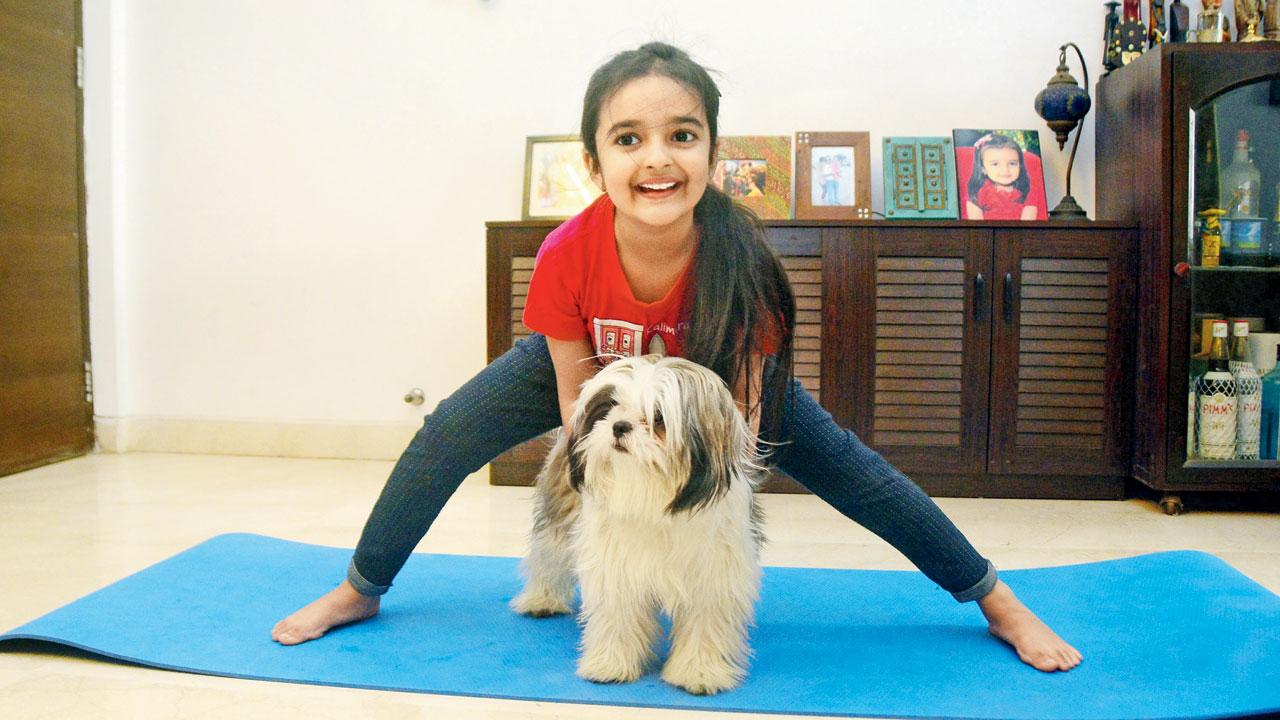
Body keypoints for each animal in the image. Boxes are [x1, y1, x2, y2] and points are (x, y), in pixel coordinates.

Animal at [509, 356, 762, 691]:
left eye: (658, 417)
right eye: (611, 406)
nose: (619, 426)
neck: (650, 495)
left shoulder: (712, 572)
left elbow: (704, 623)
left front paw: (699, 672)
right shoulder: (615, 566)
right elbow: (618, 616)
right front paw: (610, 664)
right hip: (560, 515)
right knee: (549, 554)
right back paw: (542, 598)